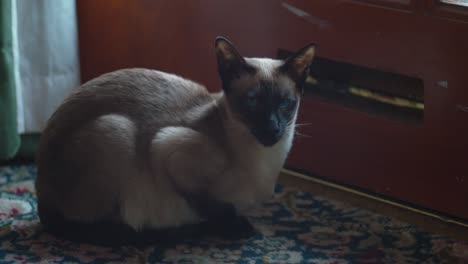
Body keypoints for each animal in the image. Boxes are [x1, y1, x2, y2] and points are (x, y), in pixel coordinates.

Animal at [35, 37, 314, 245]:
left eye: (285, 104)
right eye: (253, 102)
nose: (272, 128)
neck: (265, 164)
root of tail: (39, 194)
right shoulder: (168, 149)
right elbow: (214, 205)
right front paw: (236, 226)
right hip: (116, 130)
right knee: (105, 225)